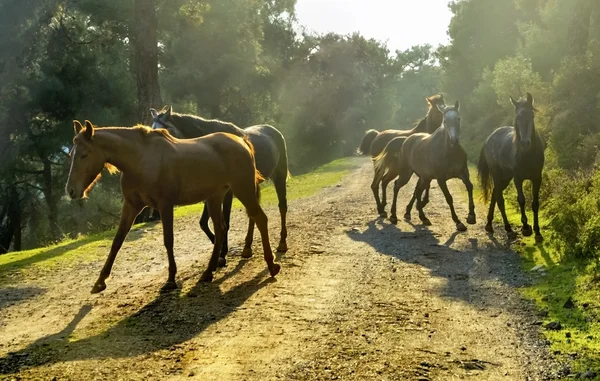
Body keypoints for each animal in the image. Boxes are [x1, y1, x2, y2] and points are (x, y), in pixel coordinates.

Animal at [65, 120, 282, 292]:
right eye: (71, 155)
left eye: (84, 154)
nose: (71, 190)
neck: (140, 160)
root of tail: (242, 141)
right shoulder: (131, 206)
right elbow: (117, 242)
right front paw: (100, 281)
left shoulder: (165, 205)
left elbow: (168, 240)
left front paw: (170, 280)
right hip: (215, 198)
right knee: (221, 229)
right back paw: (208, 272)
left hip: (242, 190)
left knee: (260, 218)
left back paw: (271, 264)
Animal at [150, 105, 290, 266]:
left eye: (165, 130)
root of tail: (273, 130)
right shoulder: (212, 193)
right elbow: (204, 223)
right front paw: (218, 250)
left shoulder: (227, 193)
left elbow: (226, 222)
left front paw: (222, 253)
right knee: (252, 214)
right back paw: (247, 248)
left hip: (278, 175)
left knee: (282, 206)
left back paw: (282, 244)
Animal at [372, 101, 476, 230]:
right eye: (445, 121)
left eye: (458, 118)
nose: (454, 140)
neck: (449, 152)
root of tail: (405, 140)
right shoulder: (441, 179)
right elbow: (449, 198)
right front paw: (458, 222)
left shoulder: (463, 172)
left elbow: (470, 187)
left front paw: (471, 216)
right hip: (405, 173)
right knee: (395, 185)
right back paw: (393, 215)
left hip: (424, 177)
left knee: (416, 190)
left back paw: (423, 218)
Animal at [478, 92, 544, 240]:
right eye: (518, 117)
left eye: (532, 115)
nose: (525, 143)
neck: (528, 154)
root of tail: (488, 139)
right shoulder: (518, 179)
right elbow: (521, 200)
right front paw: (525, 227)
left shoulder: (537, 178)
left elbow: (535, 203)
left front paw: (537, 232)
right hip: (498, 175)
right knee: (500, 200)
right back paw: (508, 229)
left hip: (505, 178)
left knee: (495, 194)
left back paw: (489, 225)